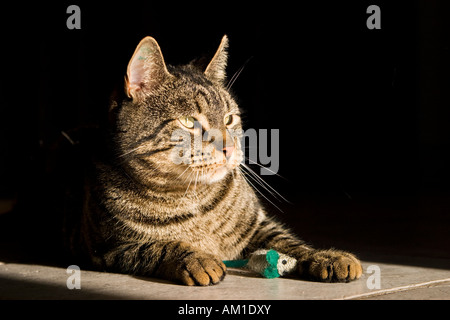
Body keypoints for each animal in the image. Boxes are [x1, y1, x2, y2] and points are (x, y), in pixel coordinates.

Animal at [69, 35, 362, 284]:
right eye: (189, 121)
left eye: (229, 119)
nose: (229, 148)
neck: (192, 198)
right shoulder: (108, 248)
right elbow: (161, 245)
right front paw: (198, 258)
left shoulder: (258, 227)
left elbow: (289, 243)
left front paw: (325, 256)